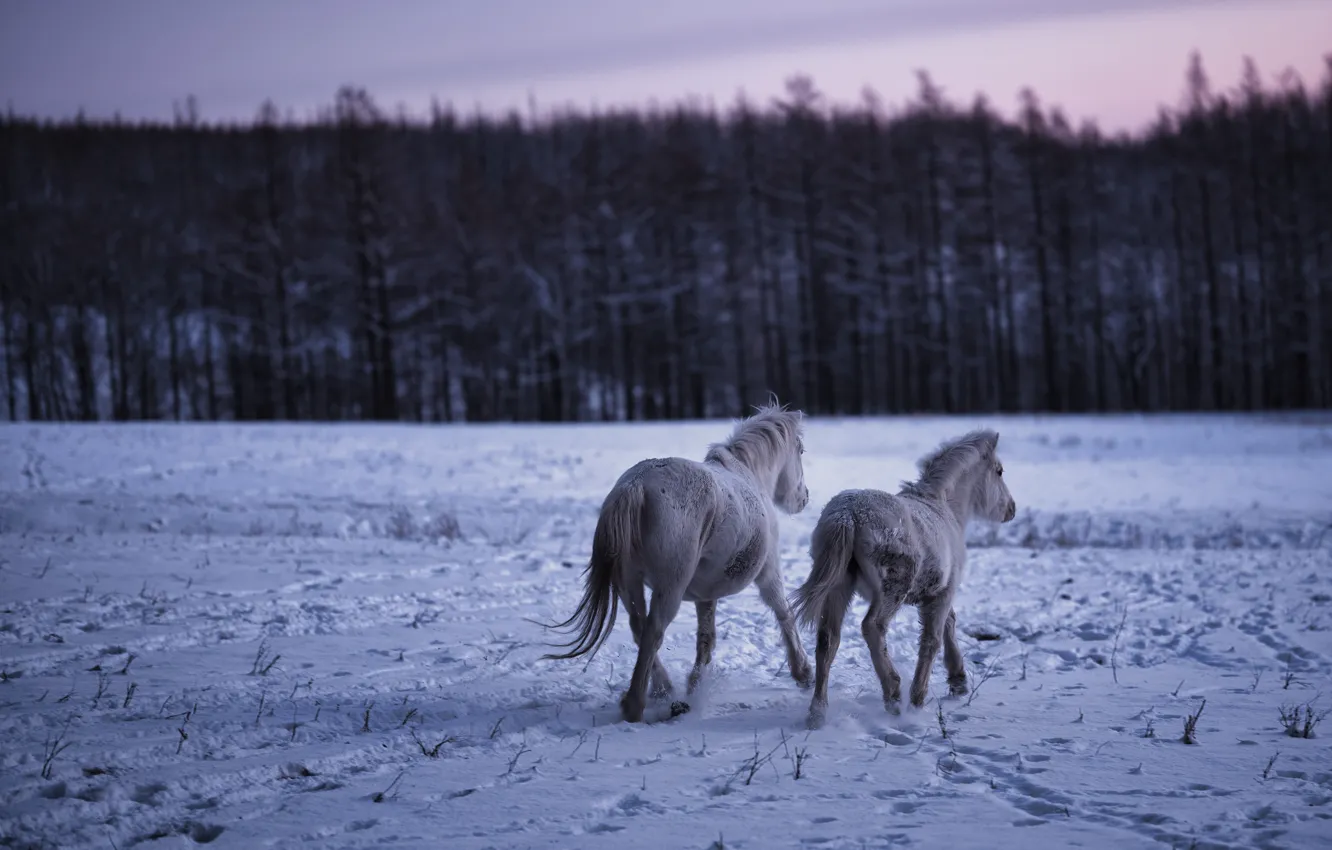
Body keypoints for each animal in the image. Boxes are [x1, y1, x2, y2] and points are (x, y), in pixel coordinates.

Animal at [539, 402, 813, 723]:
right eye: (801, 450)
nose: (804, 498)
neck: (750, 476)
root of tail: (635, 487)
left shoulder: (706, 594)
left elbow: (706, 639)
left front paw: (695, 687)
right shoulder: (768, 573)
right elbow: (784, 612)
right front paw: (803, 673)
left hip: (630, 583)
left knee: (638, 627)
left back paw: (664, 690)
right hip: (670, 586)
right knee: (653, 630)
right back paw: (635, 705)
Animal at [790, 429, 1016, 730]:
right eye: (999, 471)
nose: (1011, 509)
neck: (944, 506)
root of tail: (847, 515)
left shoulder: (934, 594)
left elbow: (949, 624)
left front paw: (958, 681)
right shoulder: (945, 592)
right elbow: (932, 639)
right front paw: (919, 699)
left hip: (838, 587)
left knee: (828, 640)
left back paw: (817, 713)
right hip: (892, 590)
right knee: (872, 627)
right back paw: (893, 693)